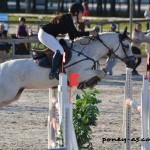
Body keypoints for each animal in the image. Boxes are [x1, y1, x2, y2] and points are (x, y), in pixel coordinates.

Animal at [0, 29, 135, 108]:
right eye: (126, 46)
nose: (132, 63)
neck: (86, 52)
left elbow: (102, 73)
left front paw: (87, 83)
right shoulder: (80, 73)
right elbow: (101, 72)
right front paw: (89, 83)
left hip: (13, 95)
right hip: (8, 94)